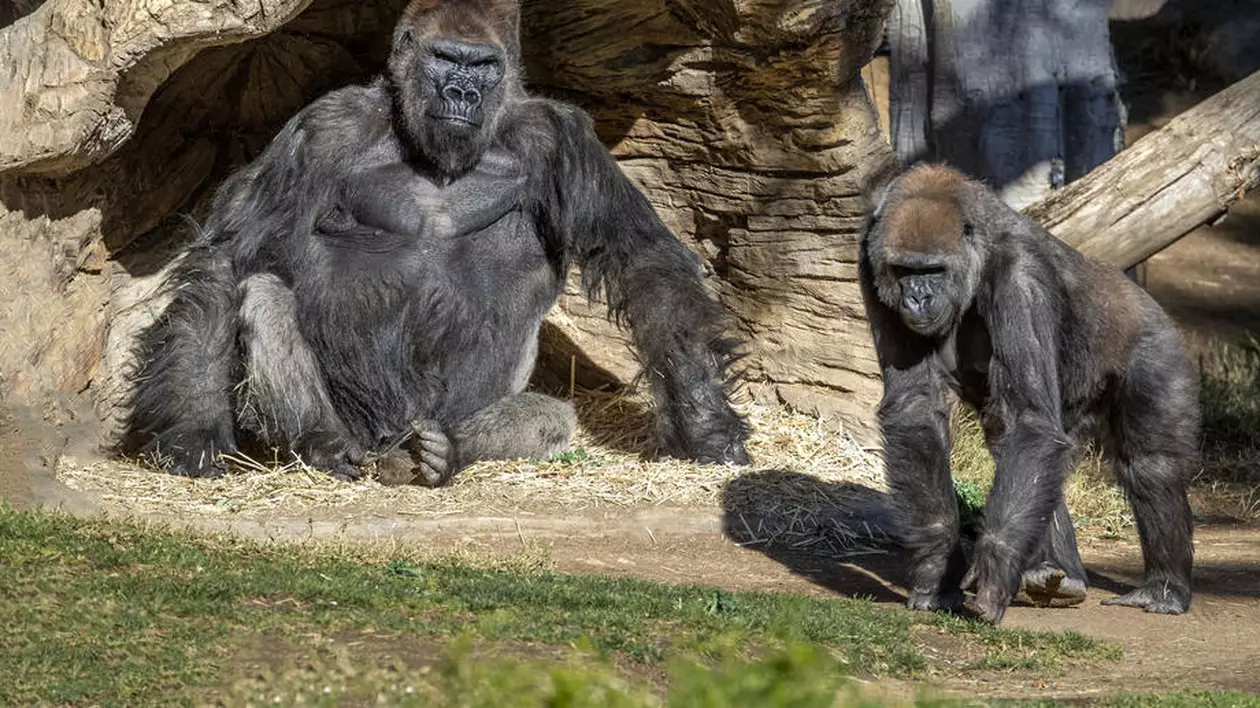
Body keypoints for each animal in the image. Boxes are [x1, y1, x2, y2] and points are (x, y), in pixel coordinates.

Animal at [120, 0, 745, 481]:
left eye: (485, 66)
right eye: (445, 57)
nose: (462, 92)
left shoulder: (560, 137)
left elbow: (642, 260)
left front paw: (705, 419)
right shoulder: (324, 127)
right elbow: (230, 258)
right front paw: (193, 426)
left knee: (549, 418)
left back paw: (448, 449)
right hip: (365, 430)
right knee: (264, 297)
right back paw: (326, 443)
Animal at [861, 163, 1194, 622]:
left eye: (933, 271)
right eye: (903, 271)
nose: (917, 299)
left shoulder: (1022, 276)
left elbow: (1029, 422)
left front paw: (996, 563)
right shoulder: (869, 258)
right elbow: (917, 410)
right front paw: (936, 563)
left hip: (1157, 341)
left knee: (1150, 463)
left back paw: (1164, 588)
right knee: (1019, 444)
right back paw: (1055, 573)